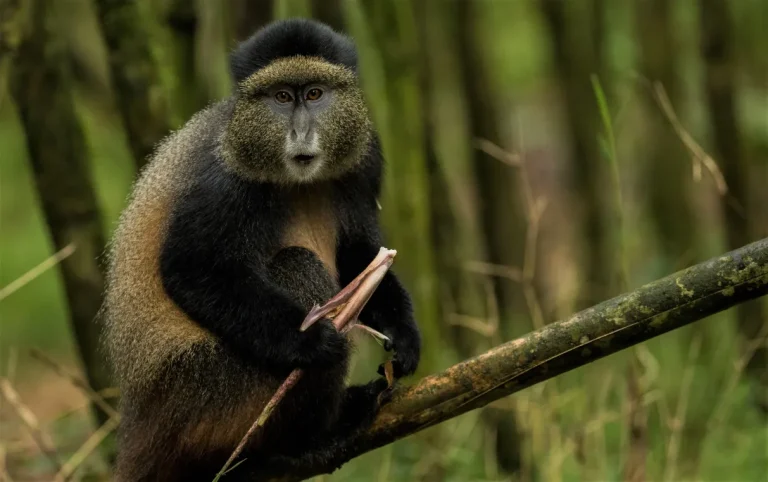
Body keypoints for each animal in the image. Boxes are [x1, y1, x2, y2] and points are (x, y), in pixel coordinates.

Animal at [100, 18, 421, 482]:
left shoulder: (366, 157)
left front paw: (404, 333)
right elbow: (191, 269)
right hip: (213, 395)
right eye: (282, 97)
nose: (301, 132)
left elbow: (359, 253)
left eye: (314, 94)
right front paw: (310, 342)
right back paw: (314, 434)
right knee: (296, 264)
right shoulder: (226, 179)